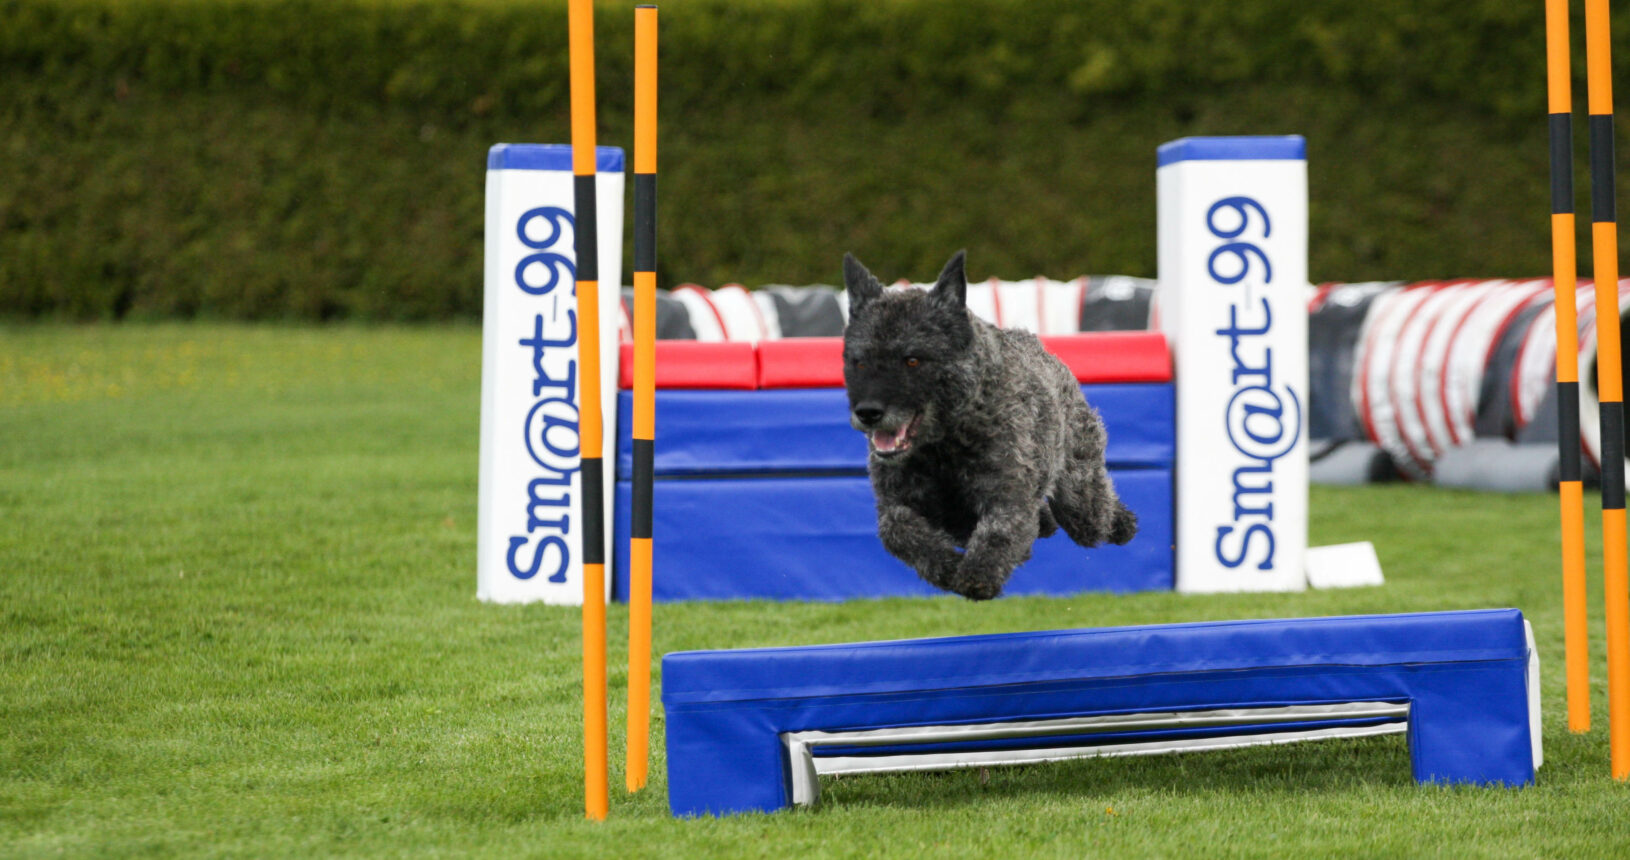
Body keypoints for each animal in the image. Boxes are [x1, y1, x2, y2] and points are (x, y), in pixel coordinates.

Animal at [842, 250, 1138, 600]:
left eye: (912, 359)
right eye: (859, 362)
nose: (868, 412)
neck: (942, 445)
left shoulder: (1007, 498)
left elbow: (999, 532)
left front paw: (977, 574)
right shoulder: (897, 504)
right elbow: (897, 531)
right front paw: (946, 567)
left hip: (1081, 496)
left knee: (1093, 514)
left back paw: (1122, 523)